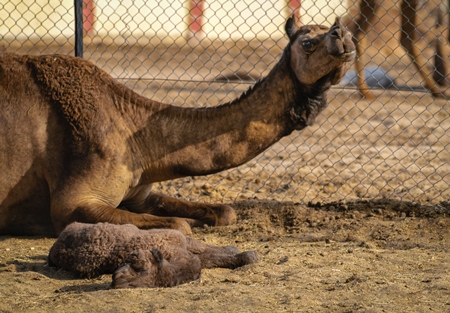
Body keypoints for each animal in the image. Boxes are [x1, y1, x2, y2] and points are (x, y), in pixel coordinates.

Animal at [48, 222, 256, 288]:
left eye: (138, 266)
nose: (116, 278)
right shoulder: (182, 242)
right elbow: (209, 252)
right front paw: (243, 253)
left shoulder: (184, 246)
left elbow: (211, 255)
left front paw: (238, 252)